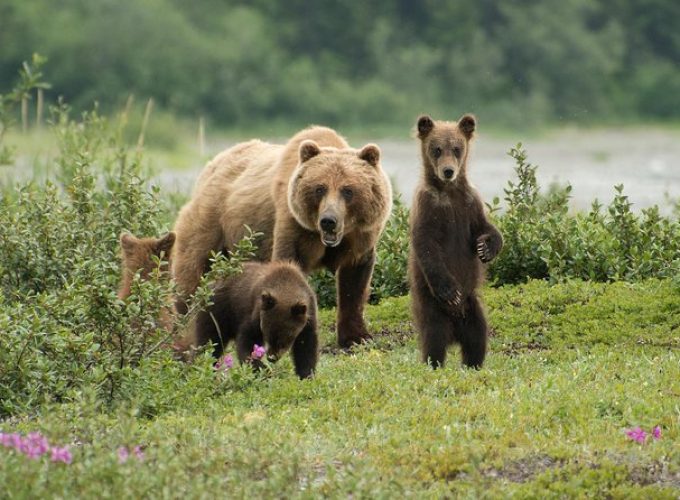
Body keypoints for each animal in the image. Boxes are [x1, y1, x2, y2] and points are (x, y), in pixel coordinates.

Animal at [173, 126, 390, 348]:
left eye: (348, 190)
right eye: (319, 188)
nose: (328, 220)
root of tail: (213, 163)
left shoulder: (360, 237)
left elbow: (354, 282)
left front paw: (356, 337)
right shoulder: (293, 224)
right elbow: (289, 267)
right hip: (212, 222)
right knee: (192, 272)